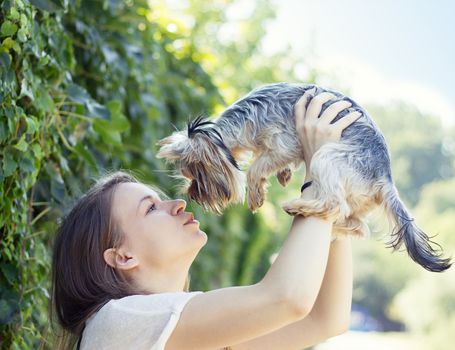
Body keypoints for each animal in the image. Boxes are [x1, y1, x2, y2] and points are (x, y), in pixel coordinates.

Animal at [157, 82, 452, 274]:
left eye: (196, 173)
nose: (192, 195)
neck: (244, 119)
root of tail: (385, 178)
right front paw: (284, 174)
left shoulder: (283, 143)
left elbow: (257, 167)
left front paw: (256, 192)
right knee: (358, 226)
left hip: (327, 156)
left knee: (335, 205)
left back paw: (298, 206)